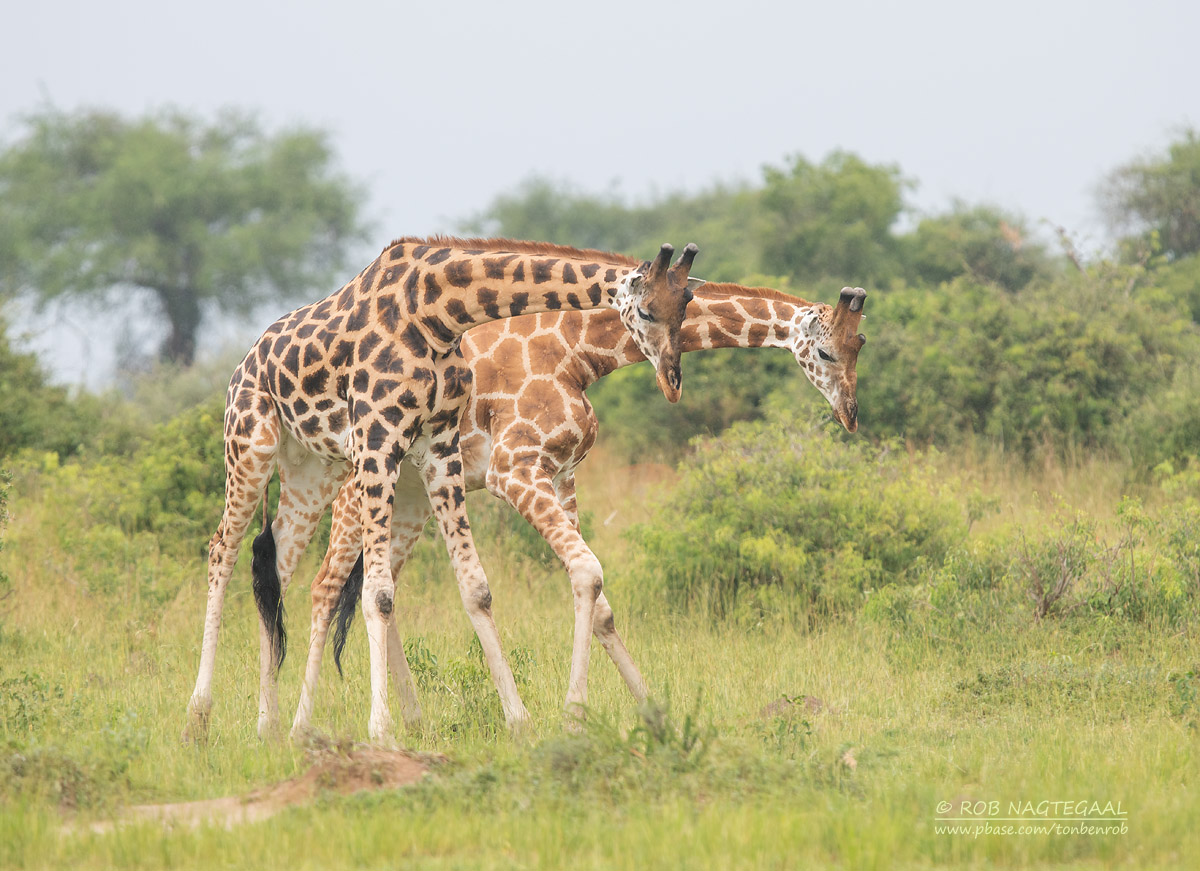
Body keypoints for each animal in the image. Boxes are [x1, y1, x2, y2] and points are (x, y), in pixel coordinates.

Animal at [182, 233, 700, 743]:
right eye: (647, 311)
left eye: (686, 305)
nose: (672, 380)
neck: (437, 313)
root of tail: (243, 364)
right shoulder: (378, 440)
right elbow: (379, 594)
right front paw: (381, 731)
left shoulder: (439, 445)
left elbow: (476, 589)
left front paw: (519, 721)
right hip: (250, 446)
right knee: (223, 550)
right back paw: (199, 718)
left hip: (312, 469)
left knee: (274, 566)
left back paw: (269, 724)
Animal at [288, 283, 873, 734]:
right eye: (826, 352)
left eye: (859, 344)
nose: (850, 414)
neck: (579, 351)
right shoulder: (514, 469)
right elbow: (587, 572)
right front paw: (572, 716)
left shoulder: (563, 473)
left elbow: (601, 601)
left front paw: (651, 709)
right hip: (360, 491)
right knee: (325, 587)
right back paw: (299, 725)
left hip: (411, 493)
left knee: (384, 587)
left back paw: (413, 720)